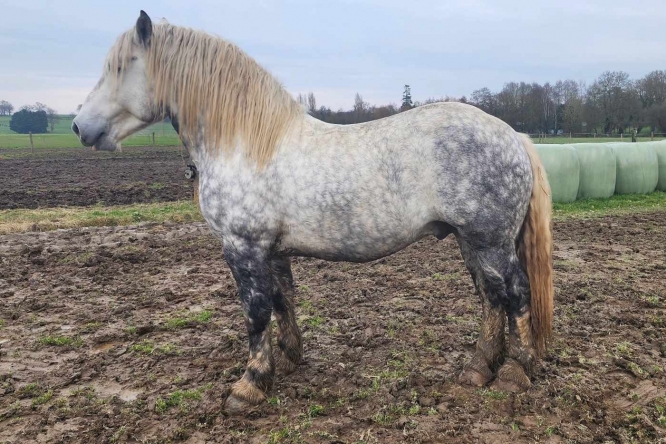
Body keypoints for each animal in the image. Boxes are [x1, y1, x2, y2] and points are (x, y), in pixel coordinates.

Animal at [72, 11, 554, 414]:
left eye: (122, 67)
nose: (79, 127)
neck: (246, 143)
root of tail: (514, 136)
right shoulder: (271, 251)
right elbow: (282, 301)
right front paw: (285, 363)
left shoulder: (243, 247)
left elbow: (255, 311)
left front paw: (249, 385)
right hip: (470, 241)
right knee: (491, 297)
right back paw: (477, 369)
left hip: (489, 242)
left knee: (516, 294)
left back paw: (514, 373)